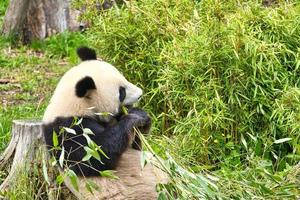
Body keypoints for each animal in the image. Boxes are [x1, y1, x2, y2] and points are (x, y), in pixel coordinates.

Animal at [42, 47, 166, 198]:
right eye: (122, 92)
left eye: (124, 78)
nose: (140, 94)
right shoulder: (66, 131)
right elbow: (97, 154)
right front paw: (132, 119)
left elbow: (136, 146)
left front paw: (141, 116)